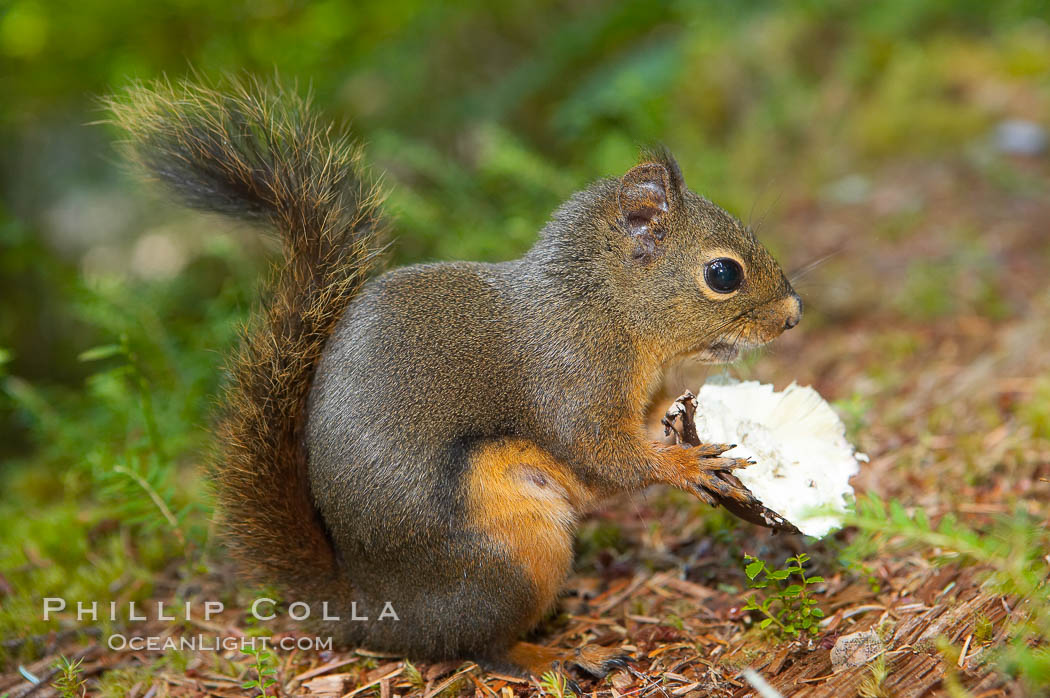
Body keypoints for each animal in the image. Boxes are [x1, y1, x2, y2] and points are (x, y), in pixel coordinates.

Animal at [108, 77, 802, 680]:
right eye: (722, 275)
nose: (794, 315)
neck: (602, 305)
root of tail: (376, 611)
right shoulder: (571, 373)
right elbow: (601, 453)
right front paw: (684, 465)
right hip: (515, 546)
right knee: (479, 645)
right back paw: (558, 656)